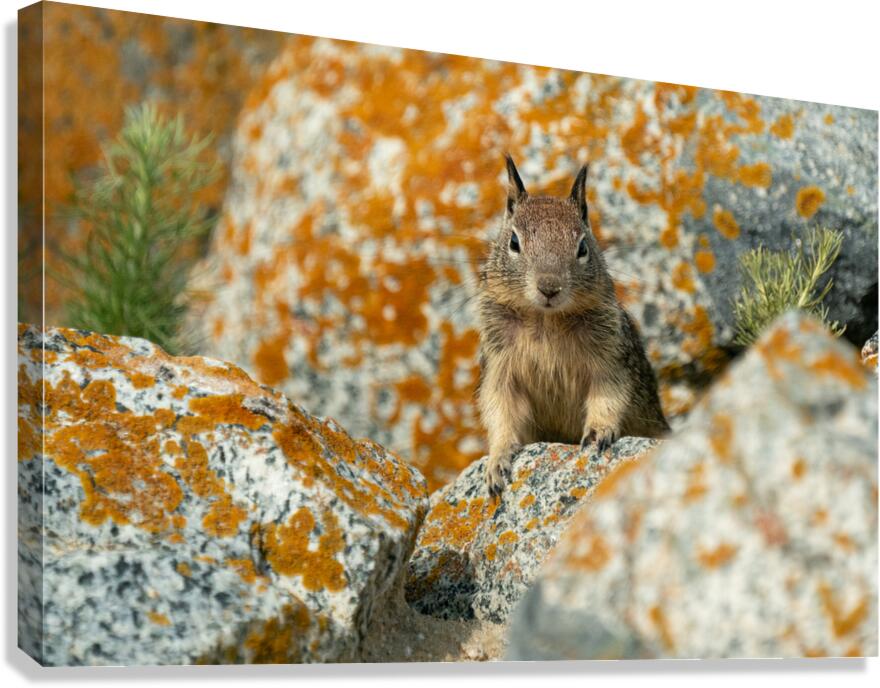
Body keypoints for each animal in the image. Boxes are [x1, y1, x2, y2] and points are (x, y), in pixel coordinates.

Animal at [478, 156, 672, 498]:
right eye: (514, 242)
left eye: (582, 247)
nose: (549, 287)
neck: (545, 322)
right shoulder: (500, 369)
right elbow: (500, 411)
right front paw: (497, 461)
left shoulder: (611, 358)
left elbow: (608, 394)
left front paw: (597, 433)